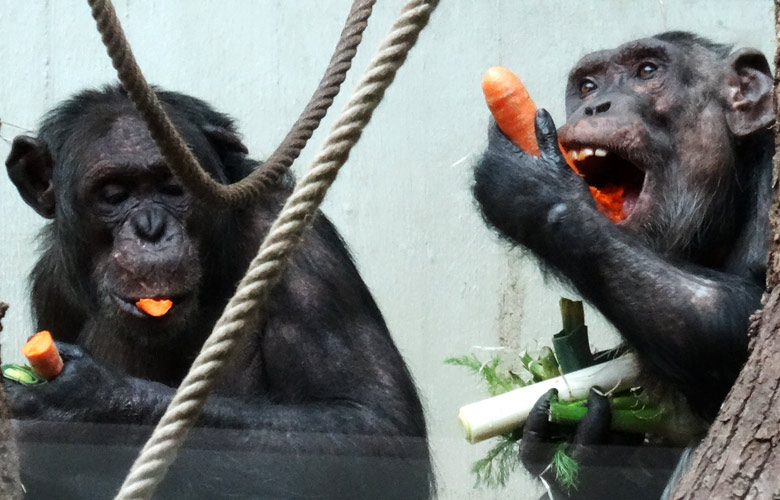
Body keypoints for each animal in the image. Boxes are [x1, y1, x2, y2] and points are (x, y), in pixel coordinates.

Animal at [4, 84, 432, 498]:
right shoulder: (52, 284)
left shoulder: (307, 257)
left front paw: (81, 406)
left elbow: (375, 425)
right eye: (113, 195)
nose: (150, 228)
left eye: (174, 188)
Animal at [472, 33, 772, 498]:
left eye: (646, 71)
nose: (597, 106)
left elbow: (747, 322)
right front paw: (582, 445)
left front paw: (533, 188)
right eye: (588, 85)